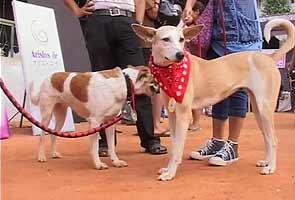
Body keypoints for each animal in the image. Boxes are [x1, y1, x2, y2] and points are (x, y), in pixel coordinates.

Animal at [29, 66, 160, 170]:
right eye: (154, 81)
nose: (159, 89)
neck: (125, 83)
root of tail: (50, 77)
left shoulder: (110, 123)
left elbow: (111, 146)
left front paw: (116, 161)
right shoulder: (95, 123)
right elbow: (95, 146)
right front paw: (98, 164)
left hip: (62, 115)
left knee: (53, 134)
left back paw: (54, 153)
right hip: (47, 114)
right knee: (42, 135)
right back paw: (41, 156)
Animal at [134, 18, 295, 180]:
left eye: (181, 39)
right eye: (165, 39)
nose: (180, 55)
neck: (170, 71)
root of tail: (269, 57)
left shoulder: (183, 116)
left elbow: (177, 149)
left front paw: (170, 173)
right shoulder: (173, 115)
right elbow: (173, 147)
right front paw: (167, 170)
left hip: (264, 109)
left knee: (273, 139)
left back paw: (271, 168)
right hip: (257, 110)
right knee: (267, 138)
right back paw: (266, 162)